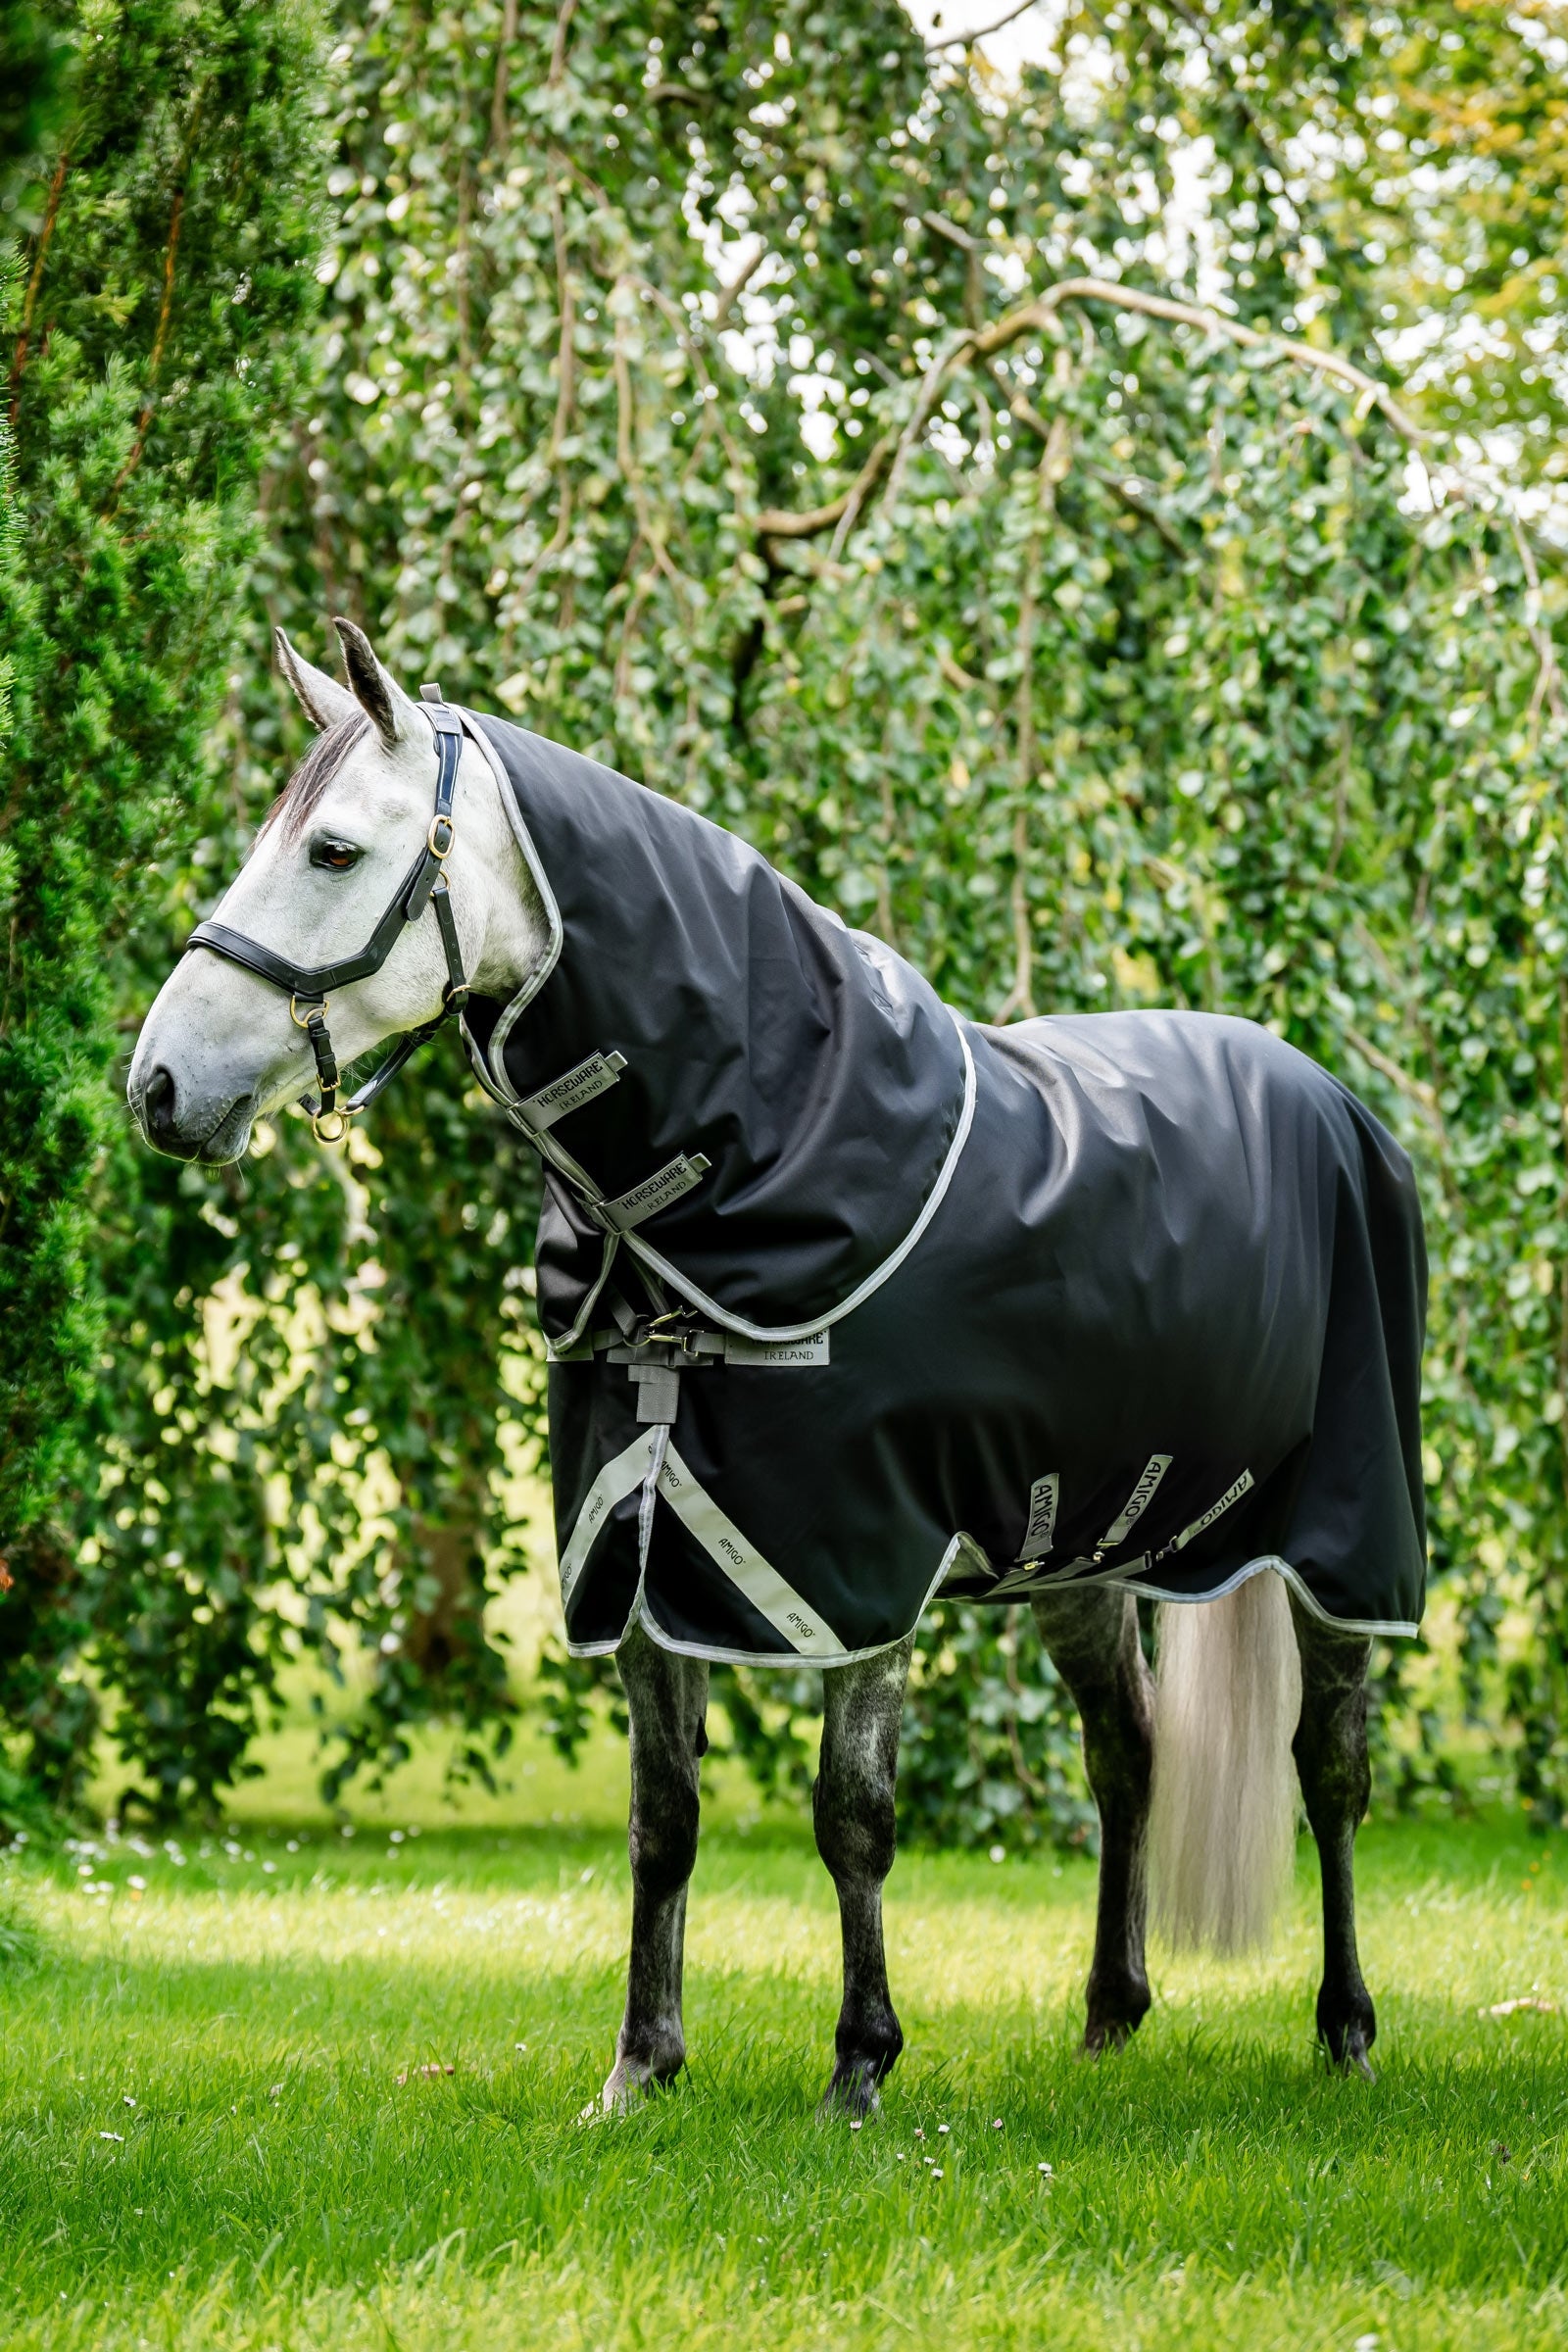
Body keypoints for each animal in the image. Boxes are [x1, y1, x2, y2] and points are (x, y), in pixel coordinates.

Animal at [130, 616, 1426, 2110]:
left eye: (335, 851)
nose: (157, 1088)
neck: (746, 1171)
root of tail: (1329, 1098)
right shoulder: (636, 1549)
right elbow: (662, 1819)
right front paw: (639, 2070)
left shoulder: (863, 1568)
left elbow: (852, 1815)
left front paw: (860, 2065)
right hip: (1079, 1554)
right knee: (1128, 1753)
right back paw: (1110, 2015)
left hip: (1344, 1542)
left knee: (1331, 1770)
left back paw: (1346, 2028)